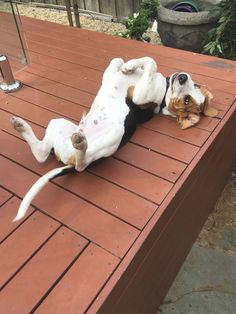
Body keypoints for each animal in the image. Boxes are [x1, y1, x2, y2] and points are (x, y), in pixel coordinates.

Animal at [10, 56, 218, 221]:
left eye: (186, 100)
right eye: (193, 89)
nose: (183, 77)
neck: (165, 90)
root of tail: (68, 158)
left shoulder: (139, 96)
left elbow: (151, 61)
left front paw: (131, 66)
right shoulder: (110, 75)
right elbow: (118, 60)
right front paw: (128, 66)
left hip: (114, 135)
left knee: (81, 165)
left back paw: (80, 146)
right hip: (58, 123)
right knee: (41, 153)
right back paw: (22, 126)